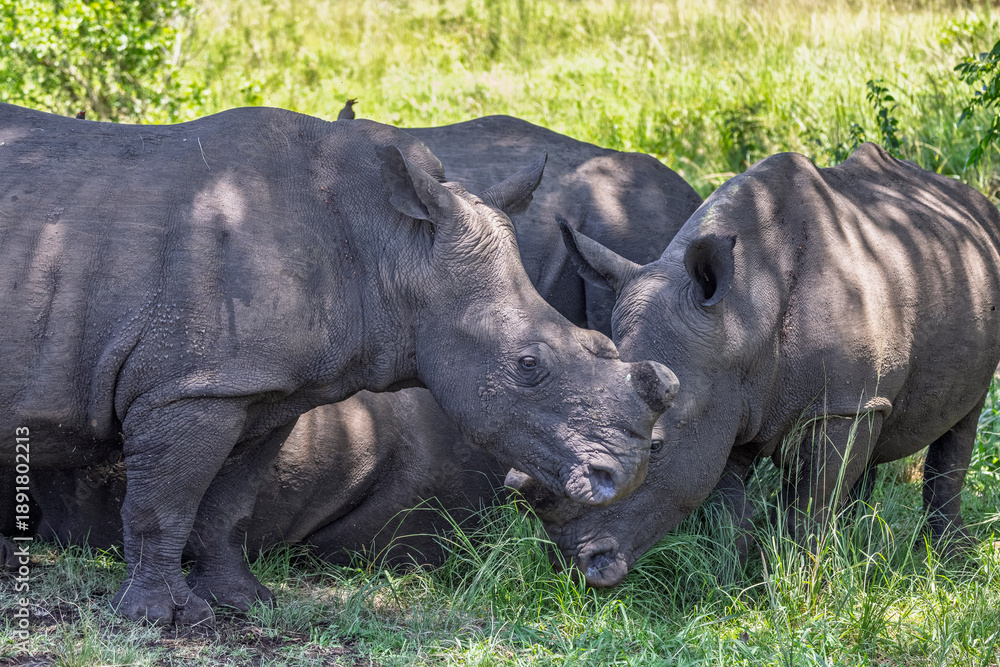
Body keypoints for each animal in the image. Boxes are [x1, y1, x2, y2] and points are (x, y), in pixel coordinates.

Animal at [0, 103, 679, 624]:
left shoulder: (259, 388)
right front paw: (160, 620)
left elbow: (229, 502)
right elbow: (163, 502)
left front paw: (245, 602)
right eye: (528, 364)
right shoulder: (191, 387)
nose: (622, 474)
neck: (392, 249)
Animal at [507, 143, 1000, 587]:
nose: (574, 567)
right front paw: (729, 587)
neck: (743, 314)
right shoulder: (723, 401)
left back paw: (946, 559)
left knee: (961, 424)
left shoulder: (838, 405)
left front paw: (802, 587)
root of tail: (974, 200)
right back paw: (860, 544)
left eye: (656, 447)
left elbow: (810, 507)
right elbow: (728, 513)